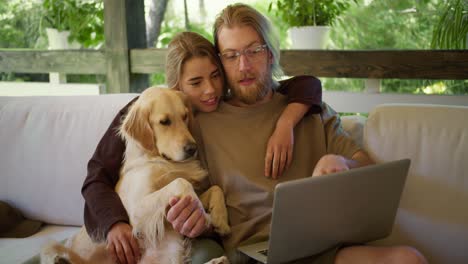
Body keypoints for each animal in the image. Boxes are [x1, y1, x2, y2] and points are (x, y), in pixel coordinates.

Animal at [41, 88, 230, 264]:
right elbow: (181, 182)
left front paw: (220, 219)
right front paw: (201, 212)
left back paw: (219, 260)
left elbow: (215, 188)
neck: (157, 159)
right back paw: (61, 259)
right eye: (164, 122)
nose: (192, 149)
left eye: (184, 117)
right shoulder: (136, 209)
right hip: (55, 247)